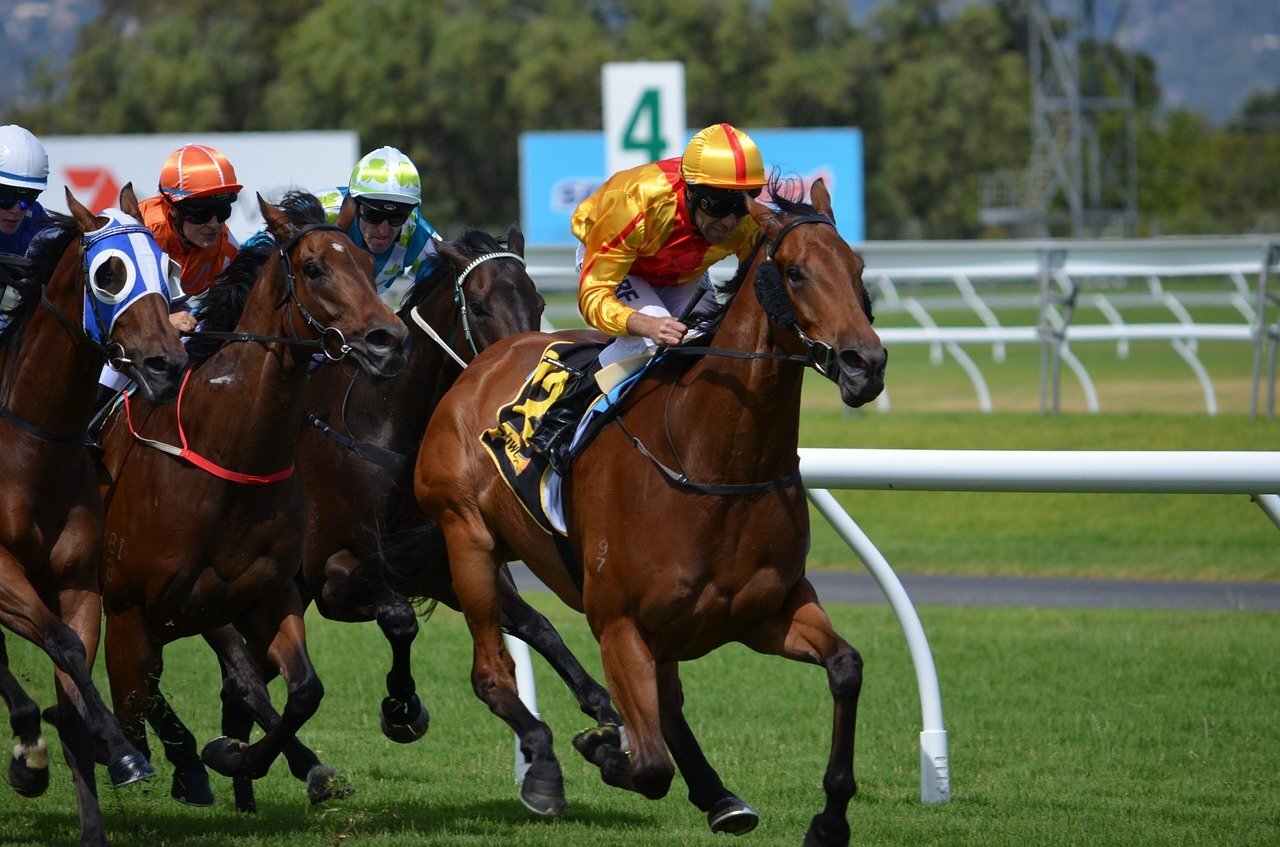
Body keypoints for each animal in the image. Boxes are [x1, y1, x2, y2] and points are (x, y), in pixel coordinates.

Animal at [0, 188, 186, 847]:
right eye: (109, 274)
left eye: (169, 268)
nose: (166, 365)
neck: (30, 448)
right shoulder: (1, 573)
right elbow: (59, 644)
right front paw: (115, 749)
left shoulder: (79, 581)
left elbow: (73, 661)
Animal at [98, 190, 409, 808]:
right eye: (314, 269)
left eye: (369, 267)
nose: (388, 342)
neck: (231, 457)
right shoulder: (136, 608)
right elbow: (148, 697)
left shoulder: (266, 597)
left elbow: (302, 690)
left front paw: (240, 756)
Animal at [414, 175, 885, 844]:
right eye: (795, 273)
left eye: (858, 267)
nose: (865, 364)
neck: (712, 463)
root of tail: (483, 361)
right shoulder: (619, 624)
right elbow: (650, 766)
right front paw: (602, 747)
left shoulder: (768, 611)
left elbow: (846, 667)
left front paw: (829, 820)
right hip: (467, 540)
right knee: (492, 672)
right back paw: (549, 768)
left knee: (667, 703)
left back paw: (718, 795)